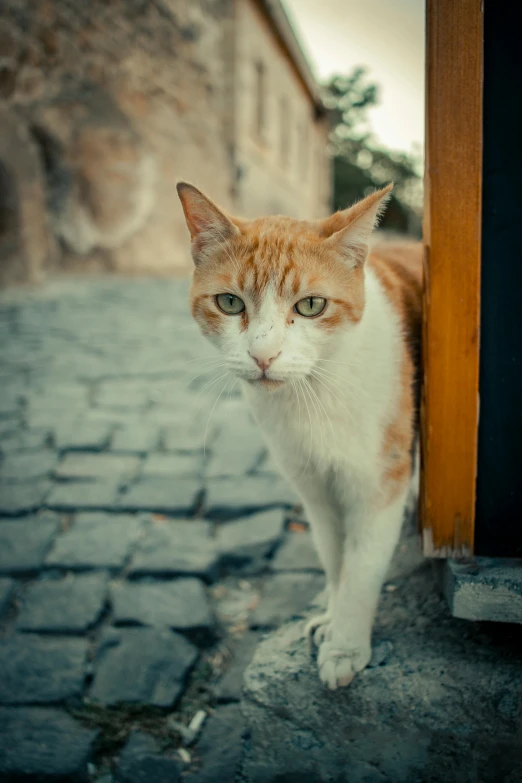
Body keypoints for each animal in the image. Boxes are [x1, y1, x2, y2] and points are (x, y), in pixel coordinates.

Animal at [177, 181, 420, 688]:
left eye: (311, 305)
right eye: (230, 302)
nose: (263, 355)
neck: (311, 396)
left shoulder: (379, 483)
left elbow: (362, 569)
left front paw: (345, 645)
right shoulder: (315, 490)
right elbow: (335, 559)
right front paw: (332, 616)